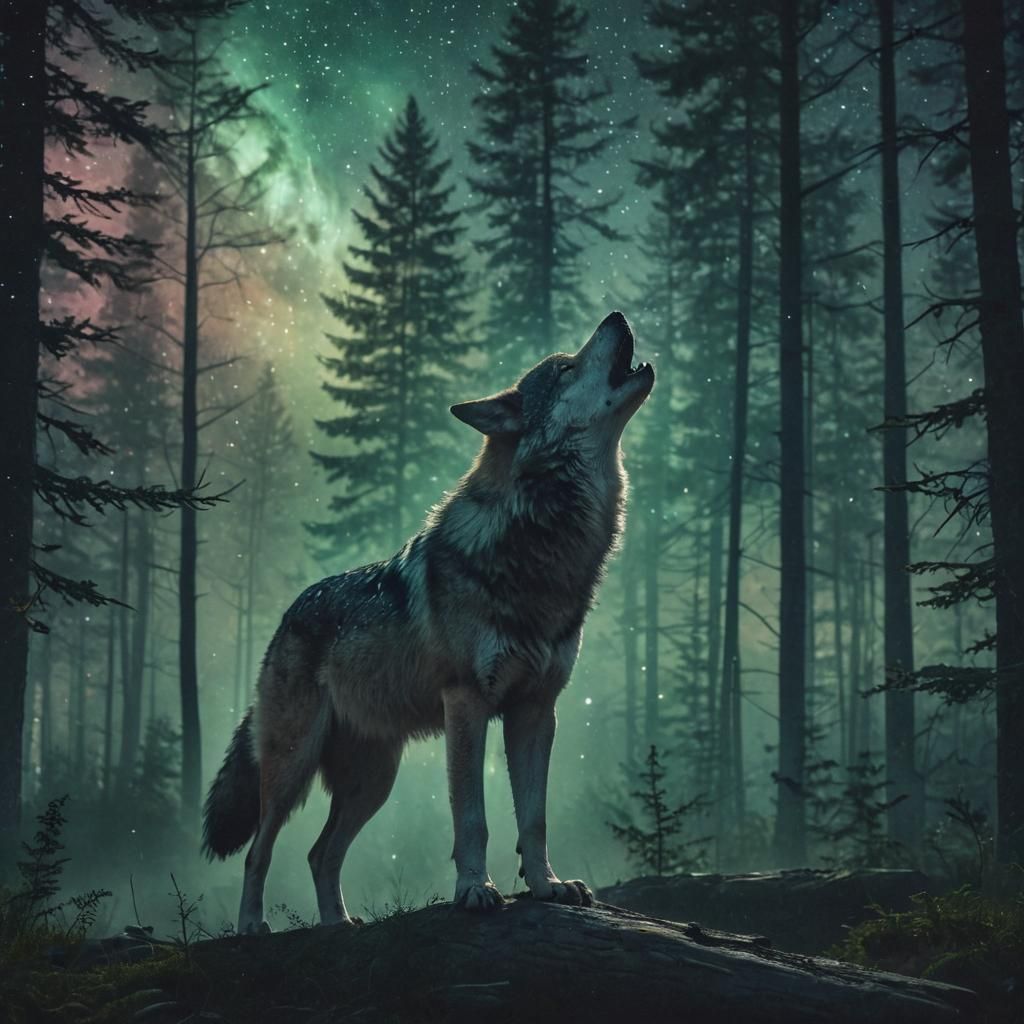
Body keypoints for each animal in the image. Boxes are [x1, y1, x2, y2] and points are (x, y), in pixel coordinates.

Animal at [202, 311, 654, 934]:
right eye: (564, 368)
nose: (616, 316)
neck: (543, 544)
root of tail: (287, 618)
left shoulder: (537, 711)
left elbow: (534, 819)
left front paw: (548, 887)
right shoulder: (467, 704)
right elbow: (473, 819)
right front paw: (475, 890)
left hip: (373, 781)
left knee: (320, 854)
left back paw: (338, 925)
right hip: (293, 766)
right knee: (259, 851)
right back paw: (252, 926)